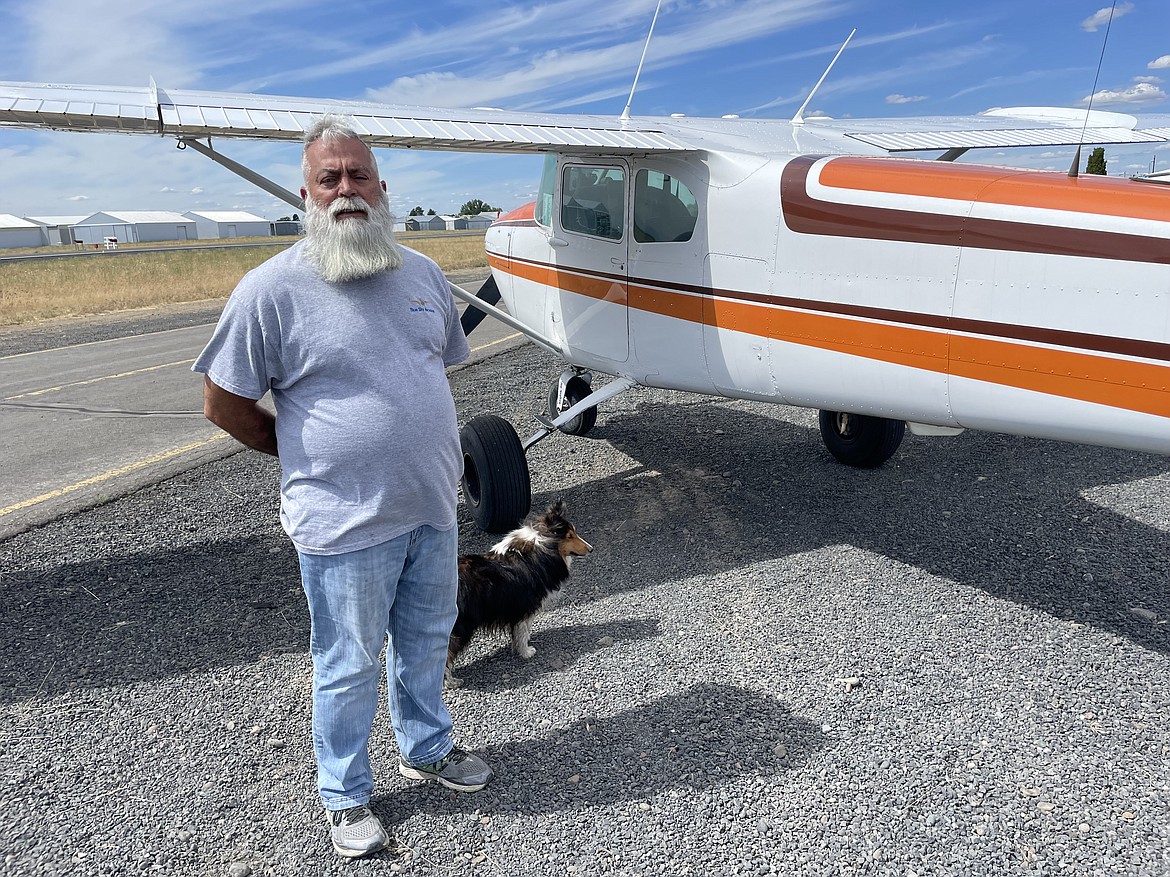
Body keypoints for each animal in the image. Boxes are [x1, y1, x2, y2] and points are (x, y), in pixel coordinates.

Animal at [446, 500, 594, 687]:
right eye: (569, 536)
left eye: (573, 533)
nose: (591, 549)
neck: (544, 544)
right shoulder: (524, 607)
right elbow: (522, 632)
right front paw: (526, 651)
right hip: (460, 627)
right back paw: (451, 682)